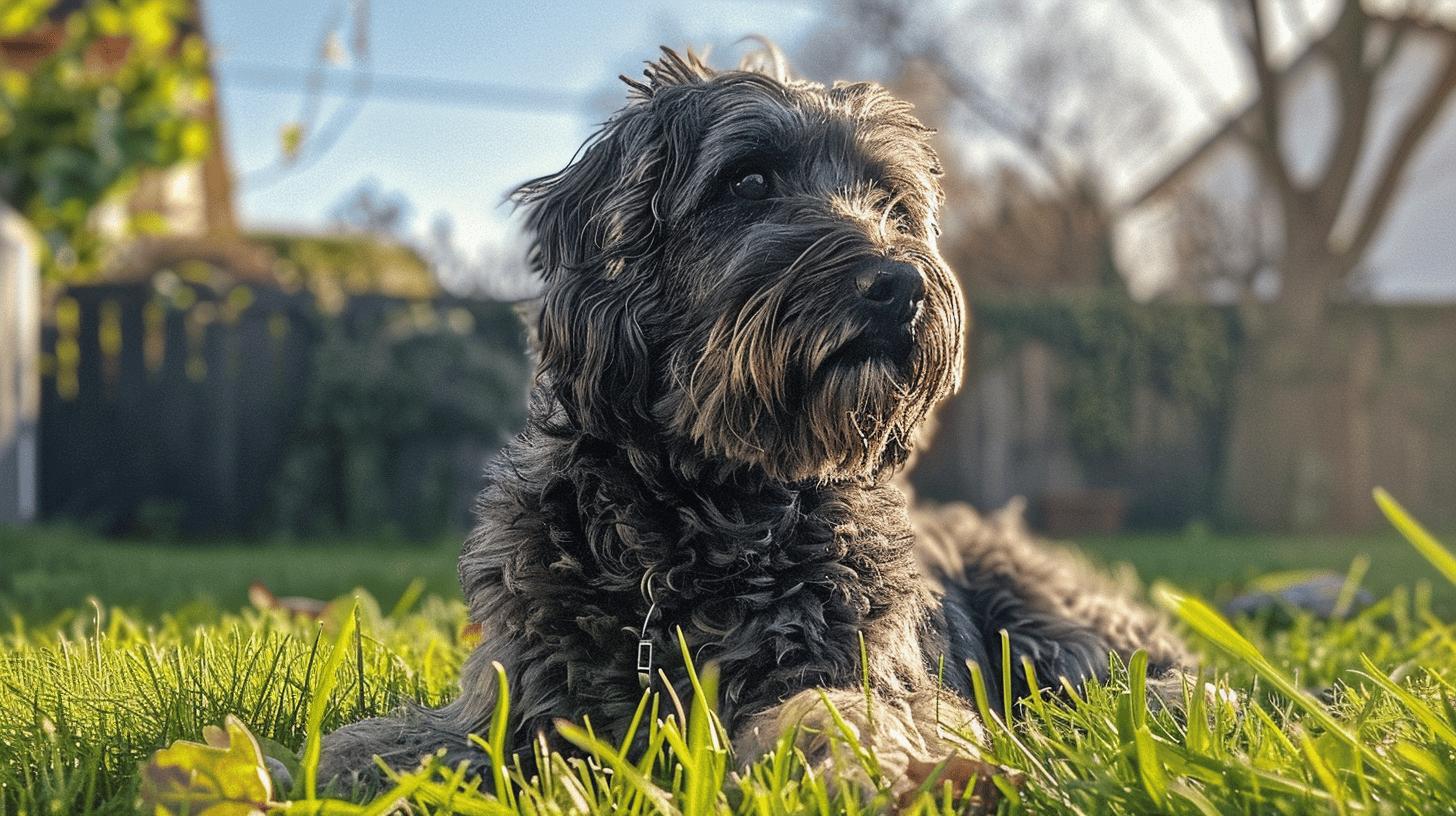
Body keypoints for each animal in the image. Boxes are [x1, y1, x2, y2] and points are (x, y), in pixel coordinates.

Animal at [318, 47, 1182, 792]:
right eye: (748, 180)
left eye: (892, 203)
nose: (900, 284)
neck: (703, 516)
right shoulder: (523, 697)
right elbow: (402, 745)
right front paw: (337, 772)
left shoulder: (884, 678)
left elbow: (837, 715)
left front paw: (859, 768)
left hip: (1049, 619)